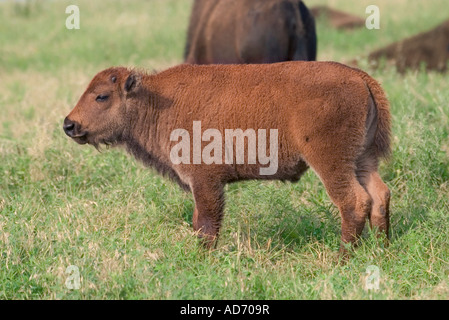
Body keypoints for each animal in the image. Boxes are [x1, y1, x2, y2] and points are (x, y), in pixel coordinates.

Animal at [64, 61, 392, 254]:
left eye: (102, 96)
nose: (69, 124)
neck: (155, 101)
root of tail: (360, 77)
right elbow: (200, 222)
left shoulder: (205, 182)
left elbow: (206, 223)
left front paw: (202, 259)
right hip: (363, 160)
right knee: (379, 195)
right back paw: (382, 250)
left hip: (331, 163)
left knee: (353, 201)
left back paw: (342, 257)